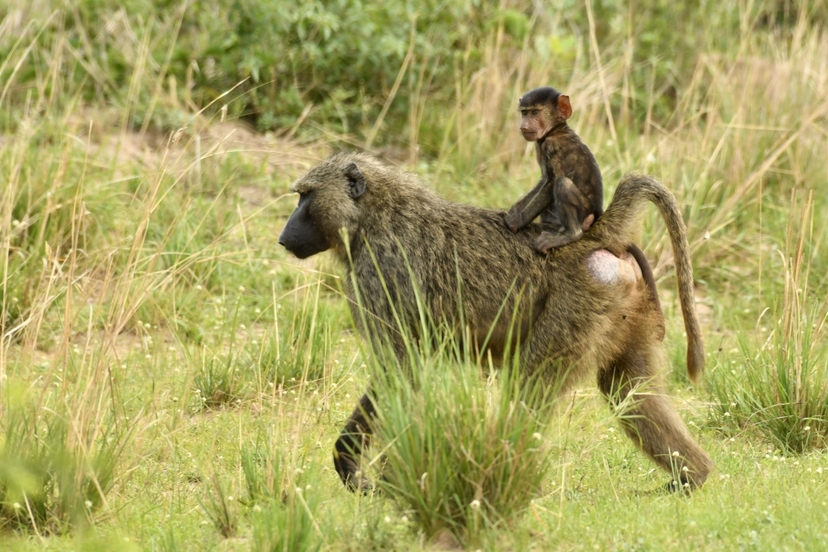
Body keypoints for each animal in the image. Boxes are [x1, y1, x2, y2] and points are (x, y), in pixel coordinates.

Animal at [278, 152, 711, 493]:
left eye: (305, 196)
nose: (284, 237)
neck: (373, 216)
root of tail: (593, 238)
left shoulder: (381, 273)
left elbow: (400, 370)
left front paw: (361, 471)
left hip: (577, 307)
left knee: (528, 389)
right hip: (623, 312)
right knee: (631, 395)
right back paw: (692, 477)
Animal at [505, 87, 662, 314]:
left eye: (535, 112)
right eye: (524, 112)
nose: (523, 125)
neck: (556, 130)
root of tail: (596, 215)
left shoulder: (551, 146)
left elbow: (551, 183)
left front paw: (516, 222)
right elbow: (544, 180)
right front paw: (513, 211)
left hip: (583, 212)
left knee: (563, 185)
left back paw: (569, 234)